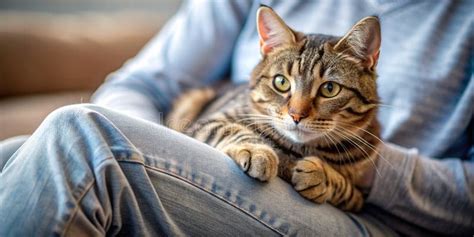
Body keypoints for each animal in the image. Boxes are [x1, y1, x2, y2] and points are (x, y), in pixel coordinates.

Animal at [167, 5, 382, 211]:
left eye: (330, 89)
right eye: (281, 82)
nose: (296, 115)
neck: (297, 150)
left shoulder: (360, 199)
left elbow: (345, 187)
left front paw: (321, 175)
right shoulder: (206, 123)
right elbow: (231, 130)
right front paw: (258, 152)